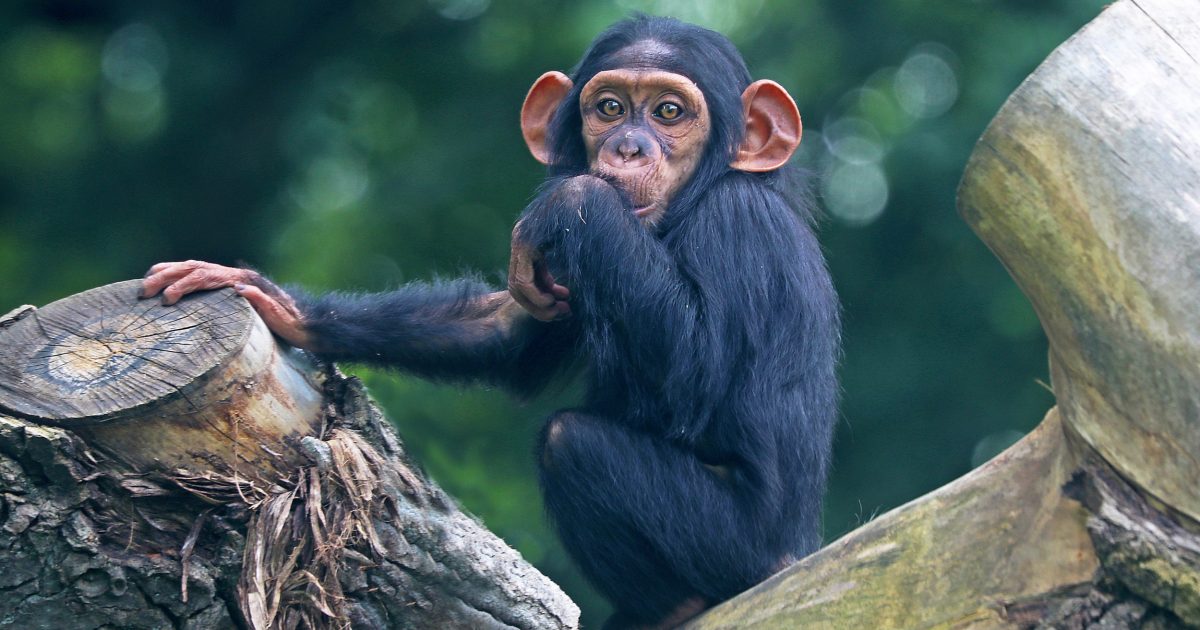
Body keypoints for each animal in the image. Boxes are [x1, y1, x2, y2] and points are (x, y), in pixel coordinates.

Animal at [140, 15, 840, 628]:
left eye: (670, 113)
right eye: (610, 107)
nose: (627, 146)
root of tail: (794, 558)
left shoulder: (738, 224)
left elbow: (692, 380)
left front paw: (574, 196)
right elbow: (506, 338)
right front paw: (279, 304)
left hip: (737, 552)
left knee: (571, 442)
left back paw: (673, 606)